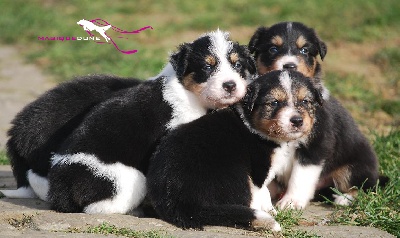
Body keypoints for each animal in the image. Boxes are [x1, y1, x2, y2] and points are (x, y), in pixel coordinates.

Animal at [47, 29, 256, 214]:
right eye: (207, 67)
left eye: (237, 65)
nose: (230, 85)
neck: (188, 92)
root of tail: (60, 188)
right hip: (127, 179)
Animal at [148, 70, 324, 231]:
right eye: (274, 102)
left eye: (305, 101)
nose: (297, 121)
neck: (252, 125)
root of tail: (182, 203)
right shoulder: (259, 171)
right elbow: (263, 192)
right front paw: (271, 211)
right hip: (237, 173)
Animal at [248, 22, 382, 208]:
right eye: (273, 49)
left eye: (304, 50)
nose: (289, 65)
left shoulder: (316, 144)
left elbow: (300, 177)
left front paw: (291, 202)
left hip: (355, 166)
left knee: (364, 186)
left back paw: (344, 198)